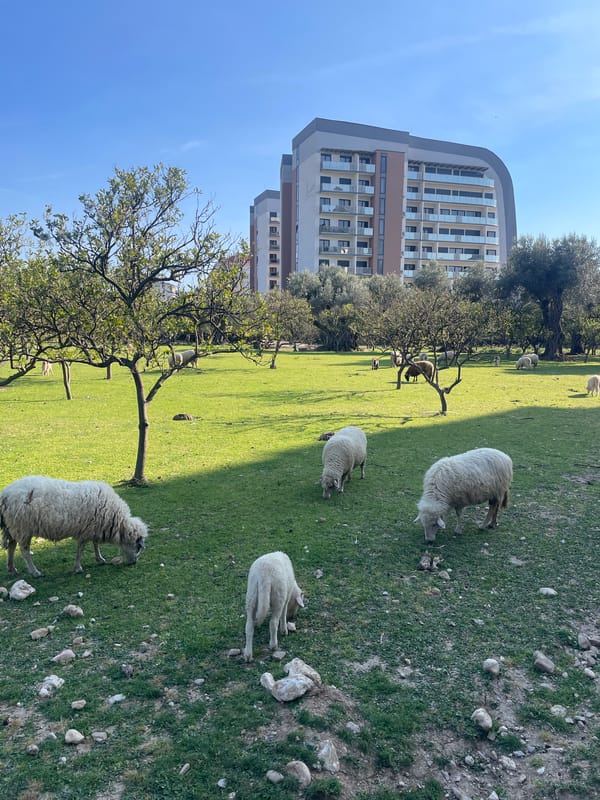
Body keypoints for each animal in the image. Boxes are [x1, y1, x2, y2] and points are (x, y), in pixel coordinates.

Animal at [0, 476, 148, 577]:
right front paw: (78, 568)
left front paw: (100, 559)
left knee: (12, 547)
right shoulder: (85, 531)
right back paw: (34, 571)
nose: (134, 563)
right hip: (22, 528)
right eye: (138, 546)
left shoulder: (94, 529)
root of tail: (6, 493)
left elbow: (95, 544)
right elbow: (80, 550)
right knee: (24, 551)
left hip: (12, 527)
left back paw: (12, 568)